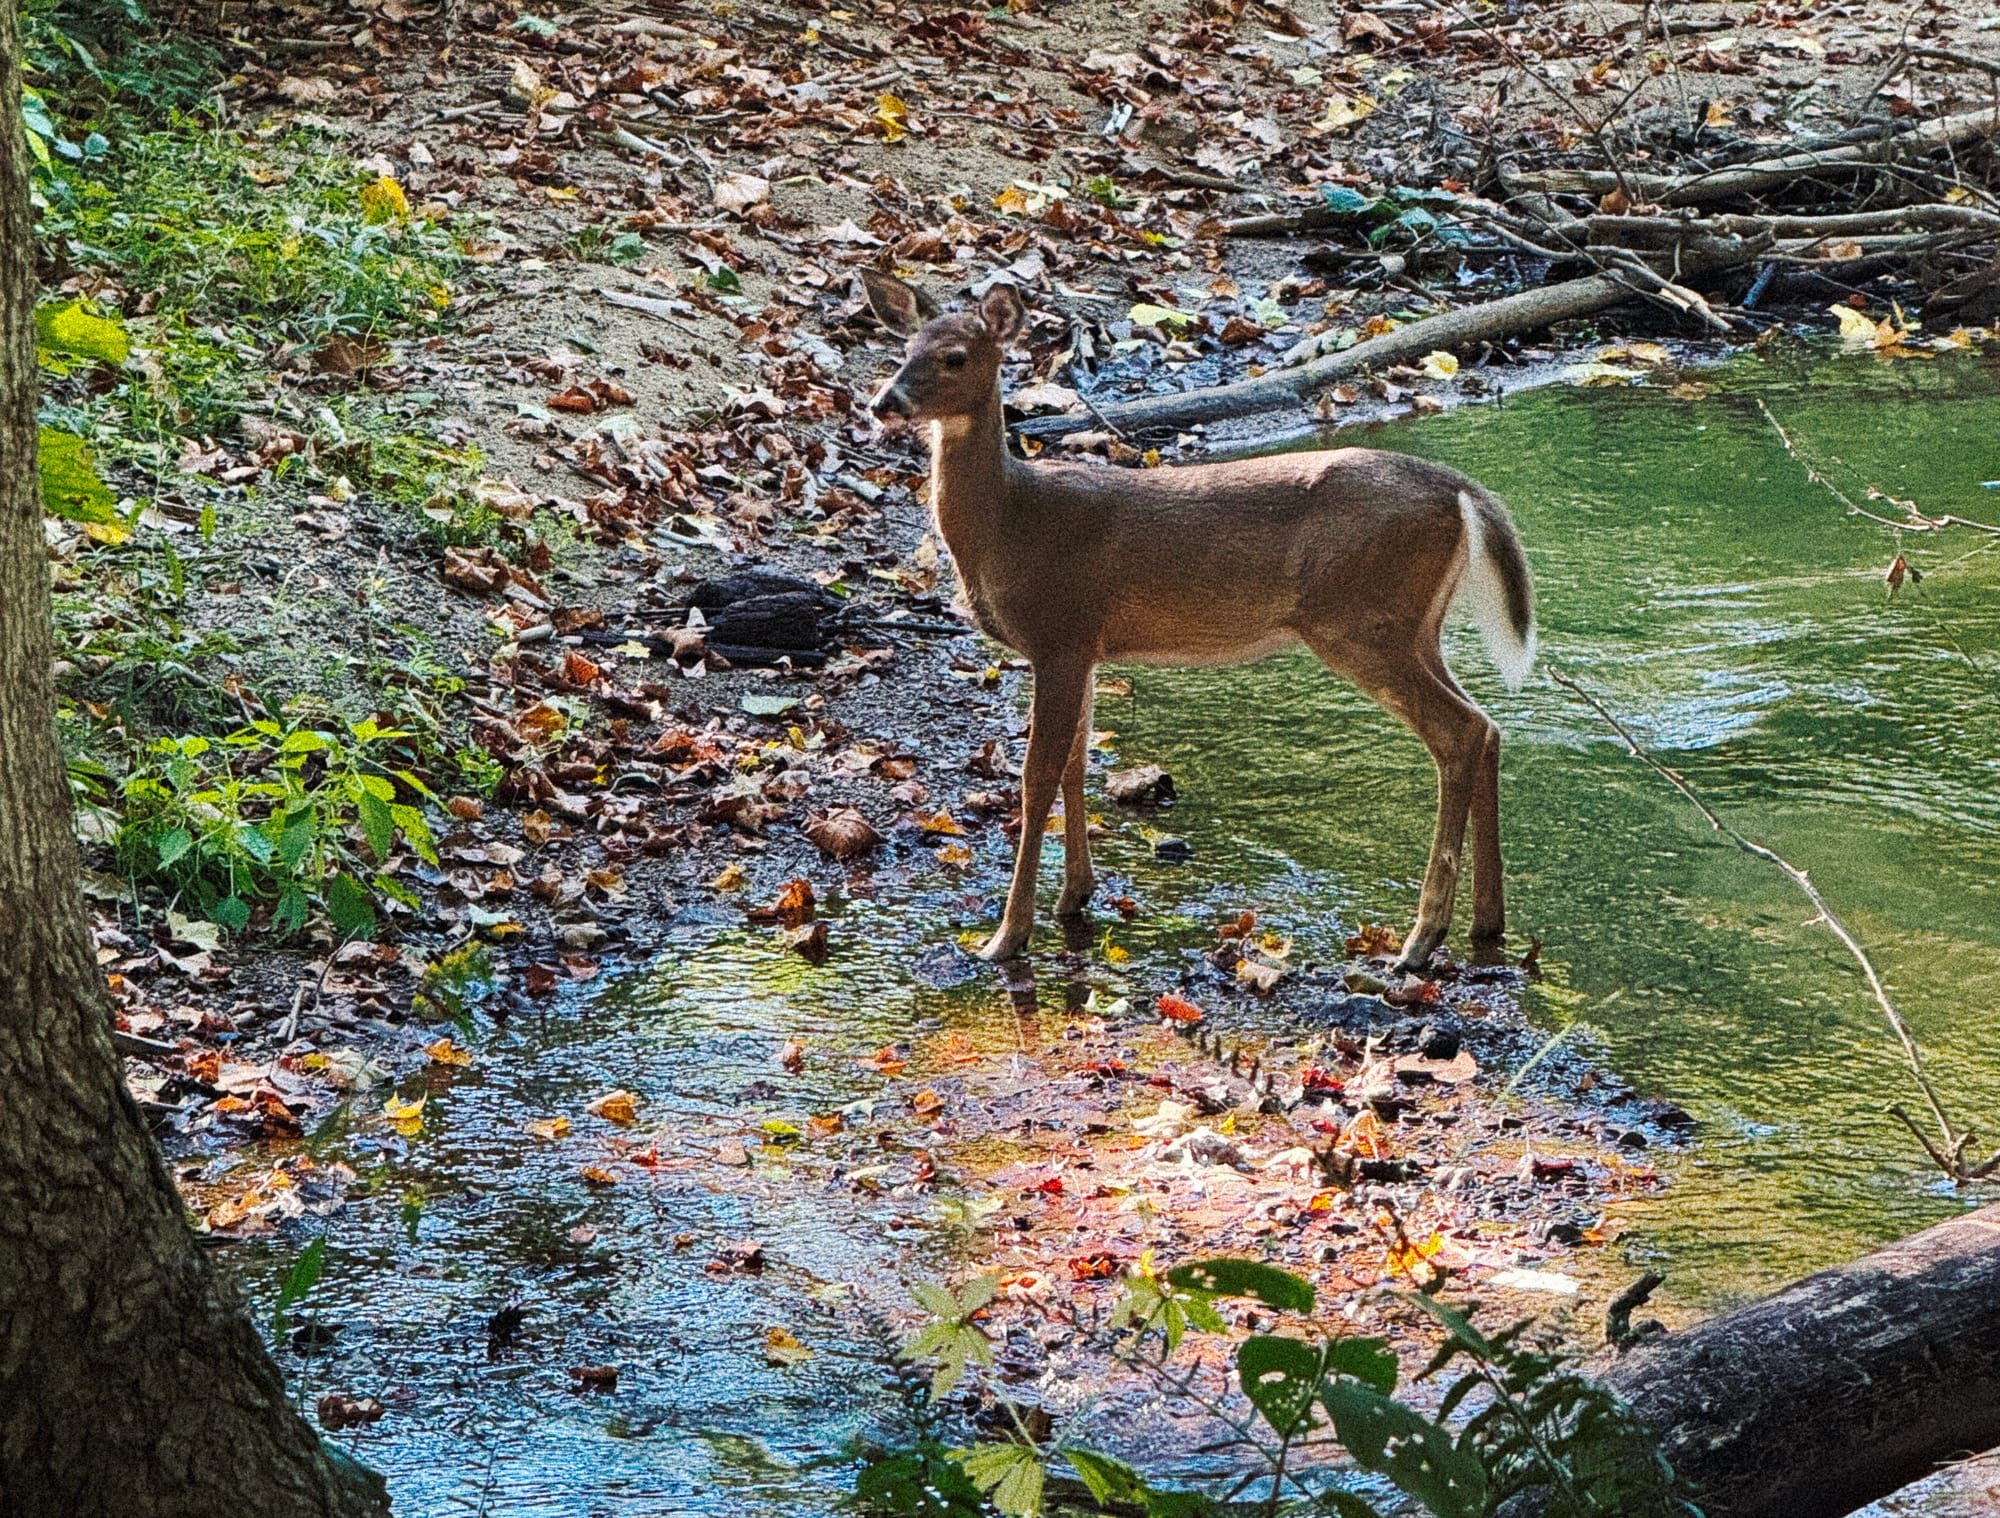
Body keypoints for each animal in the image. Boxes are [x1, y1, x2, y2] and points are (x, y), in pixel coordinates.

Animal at [860, 270, 1536, 974]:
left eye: (955, 357)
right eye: (904, 348)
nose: (883, 403)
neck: (1011, 523)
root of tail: (1459, 489)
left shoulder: (1061, 629)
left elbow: (1037, 776)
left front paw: (1007, 937)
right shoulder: (1087, 645)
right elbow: (1076, 763)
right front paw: (1075, 896)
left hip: (1359, 619)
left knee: (1459, 732)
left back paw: (1420, 939)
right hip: (1413, 625)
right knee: (1487, 727)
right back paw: (1487, 923)